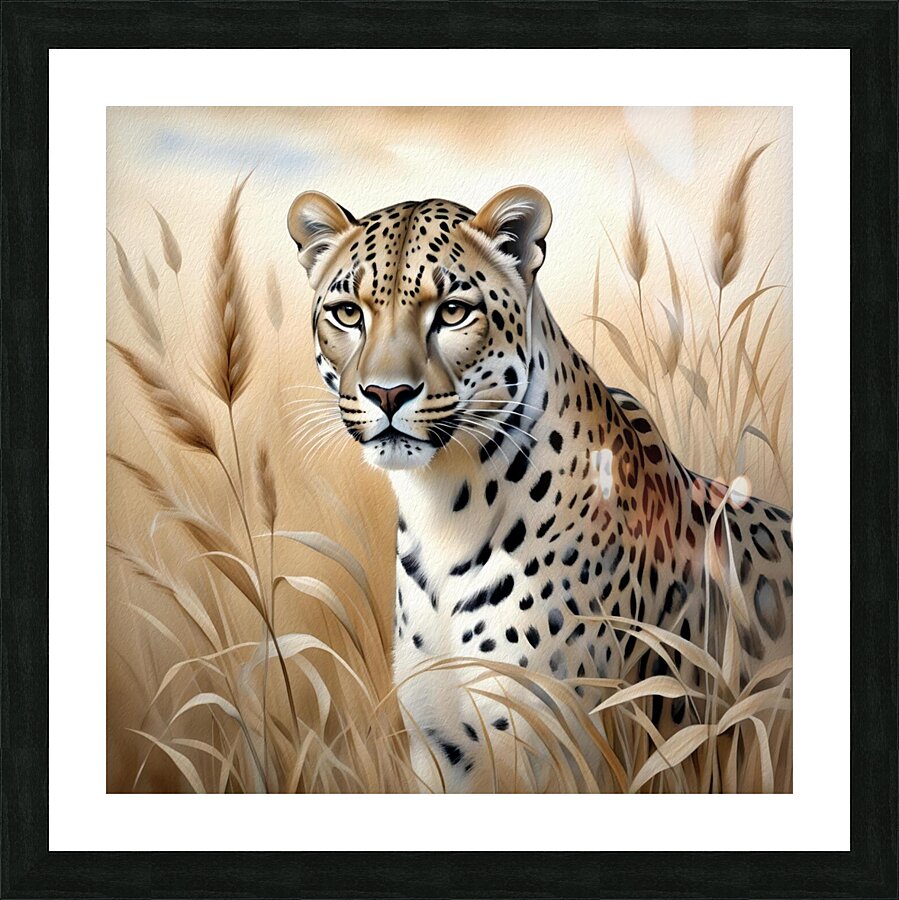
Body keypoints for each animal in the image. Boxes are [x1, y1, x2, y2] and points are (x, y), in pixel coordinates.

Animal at [287, 186, 793, 792]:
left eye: (452, 311)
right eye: (348, 313)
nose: (387, 394)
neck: (441, 510)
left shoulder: (551, 751)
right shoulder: (438, 749)